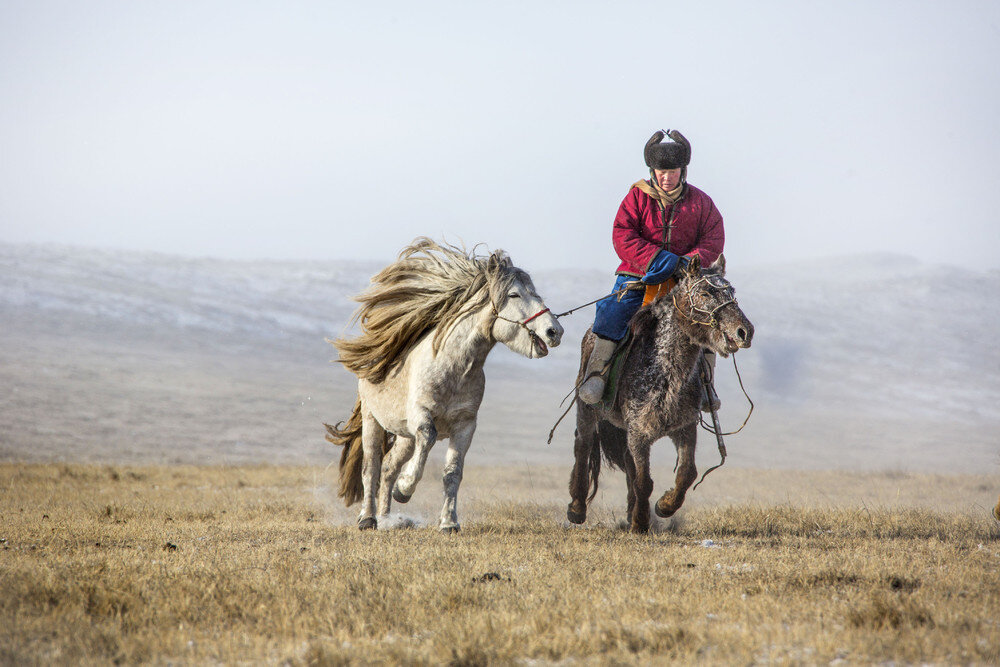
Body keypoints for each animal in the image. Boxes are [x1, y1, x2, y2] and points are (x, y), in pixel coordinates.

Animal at [326, 239, 564, 532]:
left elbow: (452, 473)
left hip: (405, 435)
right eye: (515, 295)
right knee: (371, 466)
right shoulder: (421, 416)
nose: (554, 331)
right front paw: (405, 489)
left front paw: (449, 522)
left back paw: (386, 517)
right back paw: (368, 519)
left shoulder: (465, 426)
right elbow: (427, 439)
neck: (454, 368)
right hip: (374, 420)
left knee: (389, 467)